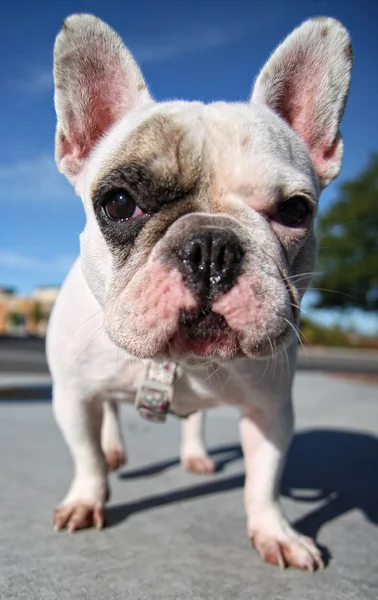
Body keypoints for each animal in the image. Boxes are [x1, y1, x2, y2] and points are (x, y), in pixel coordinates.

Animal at [46, 11, 352, 568]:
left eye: (296, 210)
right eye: (118, 202)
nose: (211, 248)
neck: (178, 364)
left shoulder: (271, 411)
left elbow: (264, 480)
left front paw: (276, 531)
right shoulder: (73, 396)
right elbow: (86, 455)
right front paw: (86, 498)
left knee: (193, 422)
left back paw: (194, 455)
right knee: (109, 422)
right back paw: (116, 448)